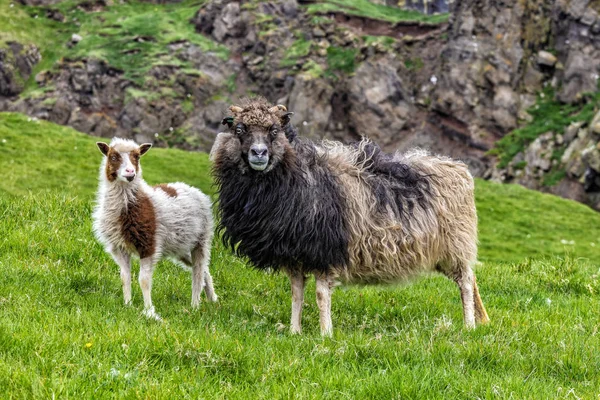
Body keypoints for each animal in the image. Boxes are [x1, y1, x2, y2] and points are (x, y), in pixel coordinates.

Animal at [211, 98, 488, 336]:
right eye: (239, 129)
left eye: (274, 130)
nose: (259, 153)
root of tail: (457, 167)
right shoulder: (295, 254)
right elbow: (296, 294)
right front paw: (294, 332)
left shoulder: (324, 250)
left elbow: (321, 294)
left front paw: (325, 334)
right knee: (470, 280)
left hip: (455, 245)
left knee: (465, 282)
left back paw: (469, 326)